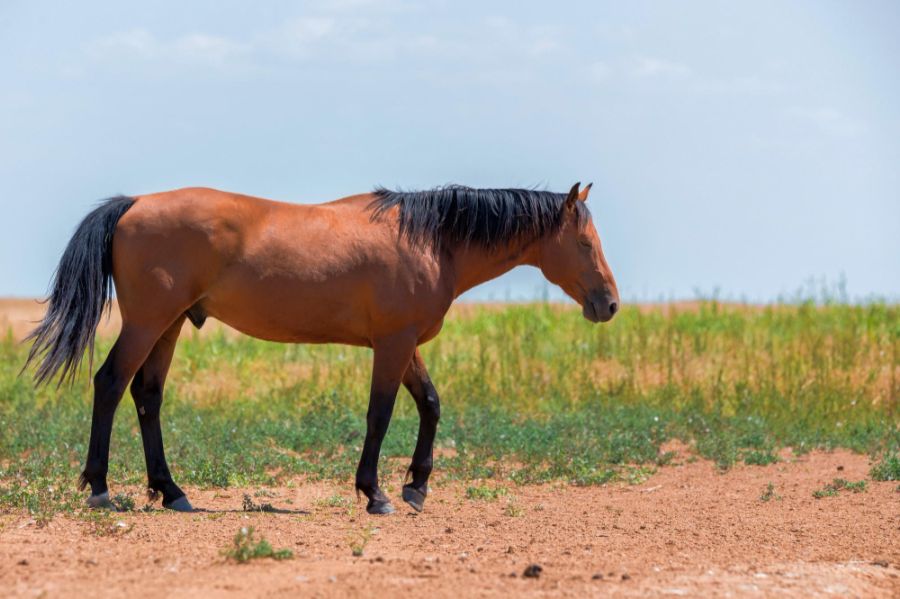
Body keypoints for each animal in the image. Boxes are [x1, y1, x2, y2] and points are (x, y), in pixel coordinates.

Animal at [26, 183, 620, 516]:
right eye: (584, 242)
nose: (609, 303)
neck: (430, 242)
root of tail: (133, 205)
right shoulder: (393, 344)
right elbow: (381, 414)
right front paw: (376, 494)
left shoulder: (404, 343)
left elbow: (430, 404)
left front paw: (417, 487)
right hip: (148, 323)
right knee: (110, 384)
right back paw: (100, 489)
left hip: (169, 325)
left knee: (147, 397)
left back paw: (171, 492)